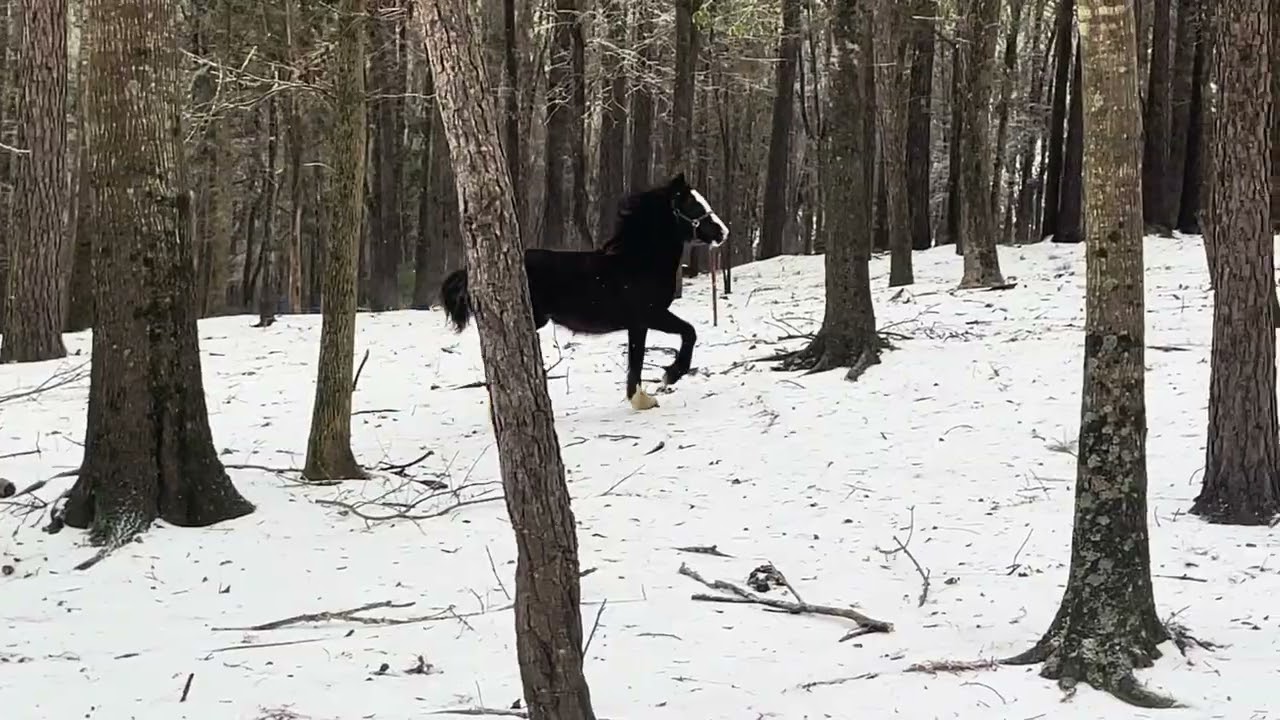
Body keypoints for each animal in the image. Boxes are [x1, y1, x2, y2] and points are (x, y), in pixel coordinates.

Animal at [439, 172, 728, 411]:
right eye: (693, 205)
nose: (722, 232)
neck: (637, 262)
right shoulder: (651, 314)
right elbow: (689, 332)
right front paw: (670, 375)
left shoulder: (638, 324)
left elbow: (636, 360)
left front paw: (639, 398)